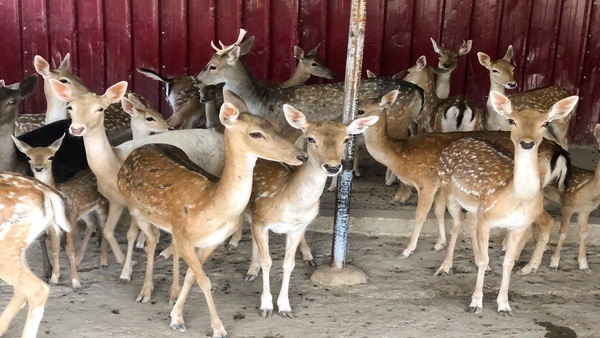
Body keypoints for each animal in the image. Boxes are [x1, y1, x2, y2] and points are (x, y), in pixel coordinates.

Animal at [11, 135, 108, 290]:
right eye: (29, 157)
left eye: (50, 157)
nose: (39, 168)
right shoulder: (53, 225)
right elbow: (55, 248)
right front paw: (54, 278)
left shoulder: (71, 222)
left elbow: (69, 250)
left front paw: (75, 282)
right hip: (84, 211)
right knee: (91, 224)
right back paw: (80, 260)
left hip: (103, 205)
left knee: (106, 228)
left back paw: (104, 262)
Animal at [115, 91, 308, 336]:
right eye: (255, 133)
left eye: (274, 126)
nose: (301, 156)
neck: (212, 205)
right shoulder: (185, 237)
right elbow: (204, 280)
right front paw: (217, 328)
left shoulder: (211, 242)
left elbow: (192, 276)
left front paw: (176, 317)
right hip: (133, 205)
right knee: (150, 239)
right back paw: (144, 291)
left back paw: (171, 294)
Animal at [434, 90, 580, 314]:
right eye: (512, 120)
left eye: (545, 123)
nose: (527, 142)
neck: (514, 199)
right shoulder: (487, 220)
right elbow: (484, 257)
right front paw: (475, 303)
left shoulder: (518, 225)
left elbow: (509, 262)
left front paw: (504, 304)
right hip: (449, 191)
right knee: (457, 224)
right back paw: (445, 267)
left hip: (476, 207)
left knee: (470, 222)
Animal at [548, 124, 600, 272]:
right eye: (599, 149)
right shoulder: (567, 203)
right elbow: (563, 233)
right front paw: (554, 263)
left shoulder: (586, 210)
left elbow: (583, 234)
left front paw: (584, 264)